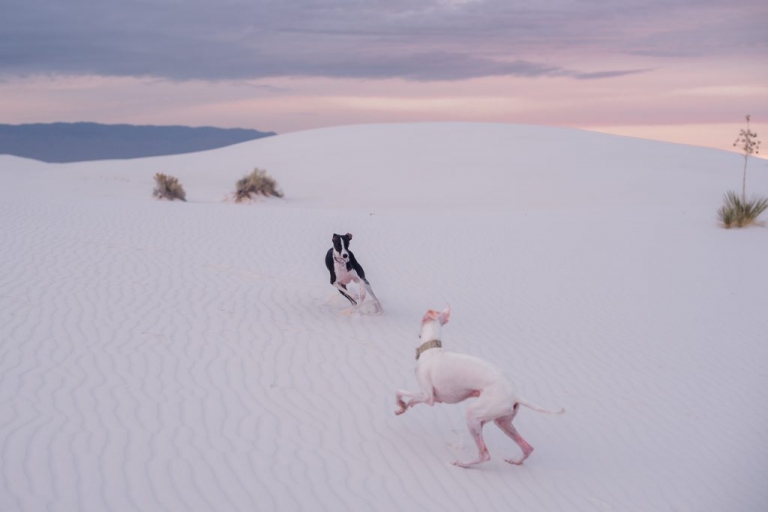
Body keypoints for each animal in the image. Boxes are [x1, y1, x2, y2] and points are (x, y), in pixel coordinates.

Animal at [396, 306, 564, 470]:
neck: (431, 350)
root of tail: (515, 395)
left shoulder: (428, 397)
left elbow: (399, 391)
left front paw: (400, 406)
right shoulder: (435, 398)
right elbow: (411, 399)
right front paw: (403, 407)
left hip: (473, 415)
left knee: (484, 454)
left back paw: (462, 463)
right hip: (500, 421)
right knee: (527, 447)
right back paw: (515, 461)